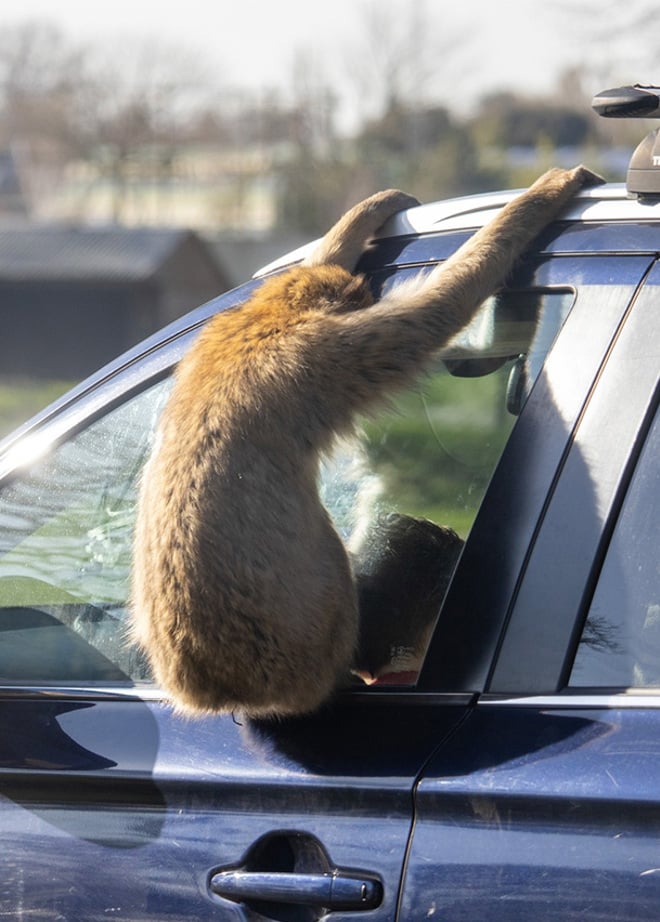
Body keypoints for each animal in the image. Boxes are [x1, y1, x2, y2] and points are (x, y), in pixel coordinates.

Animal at [130, 165, 604, 716]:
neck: (266, 319)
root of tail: (212, 687)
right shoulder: (324, 354)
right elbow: (434, 313)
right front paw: (546, 194)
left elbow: (332, 258)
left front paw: (375, 208)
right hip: (307, 645)